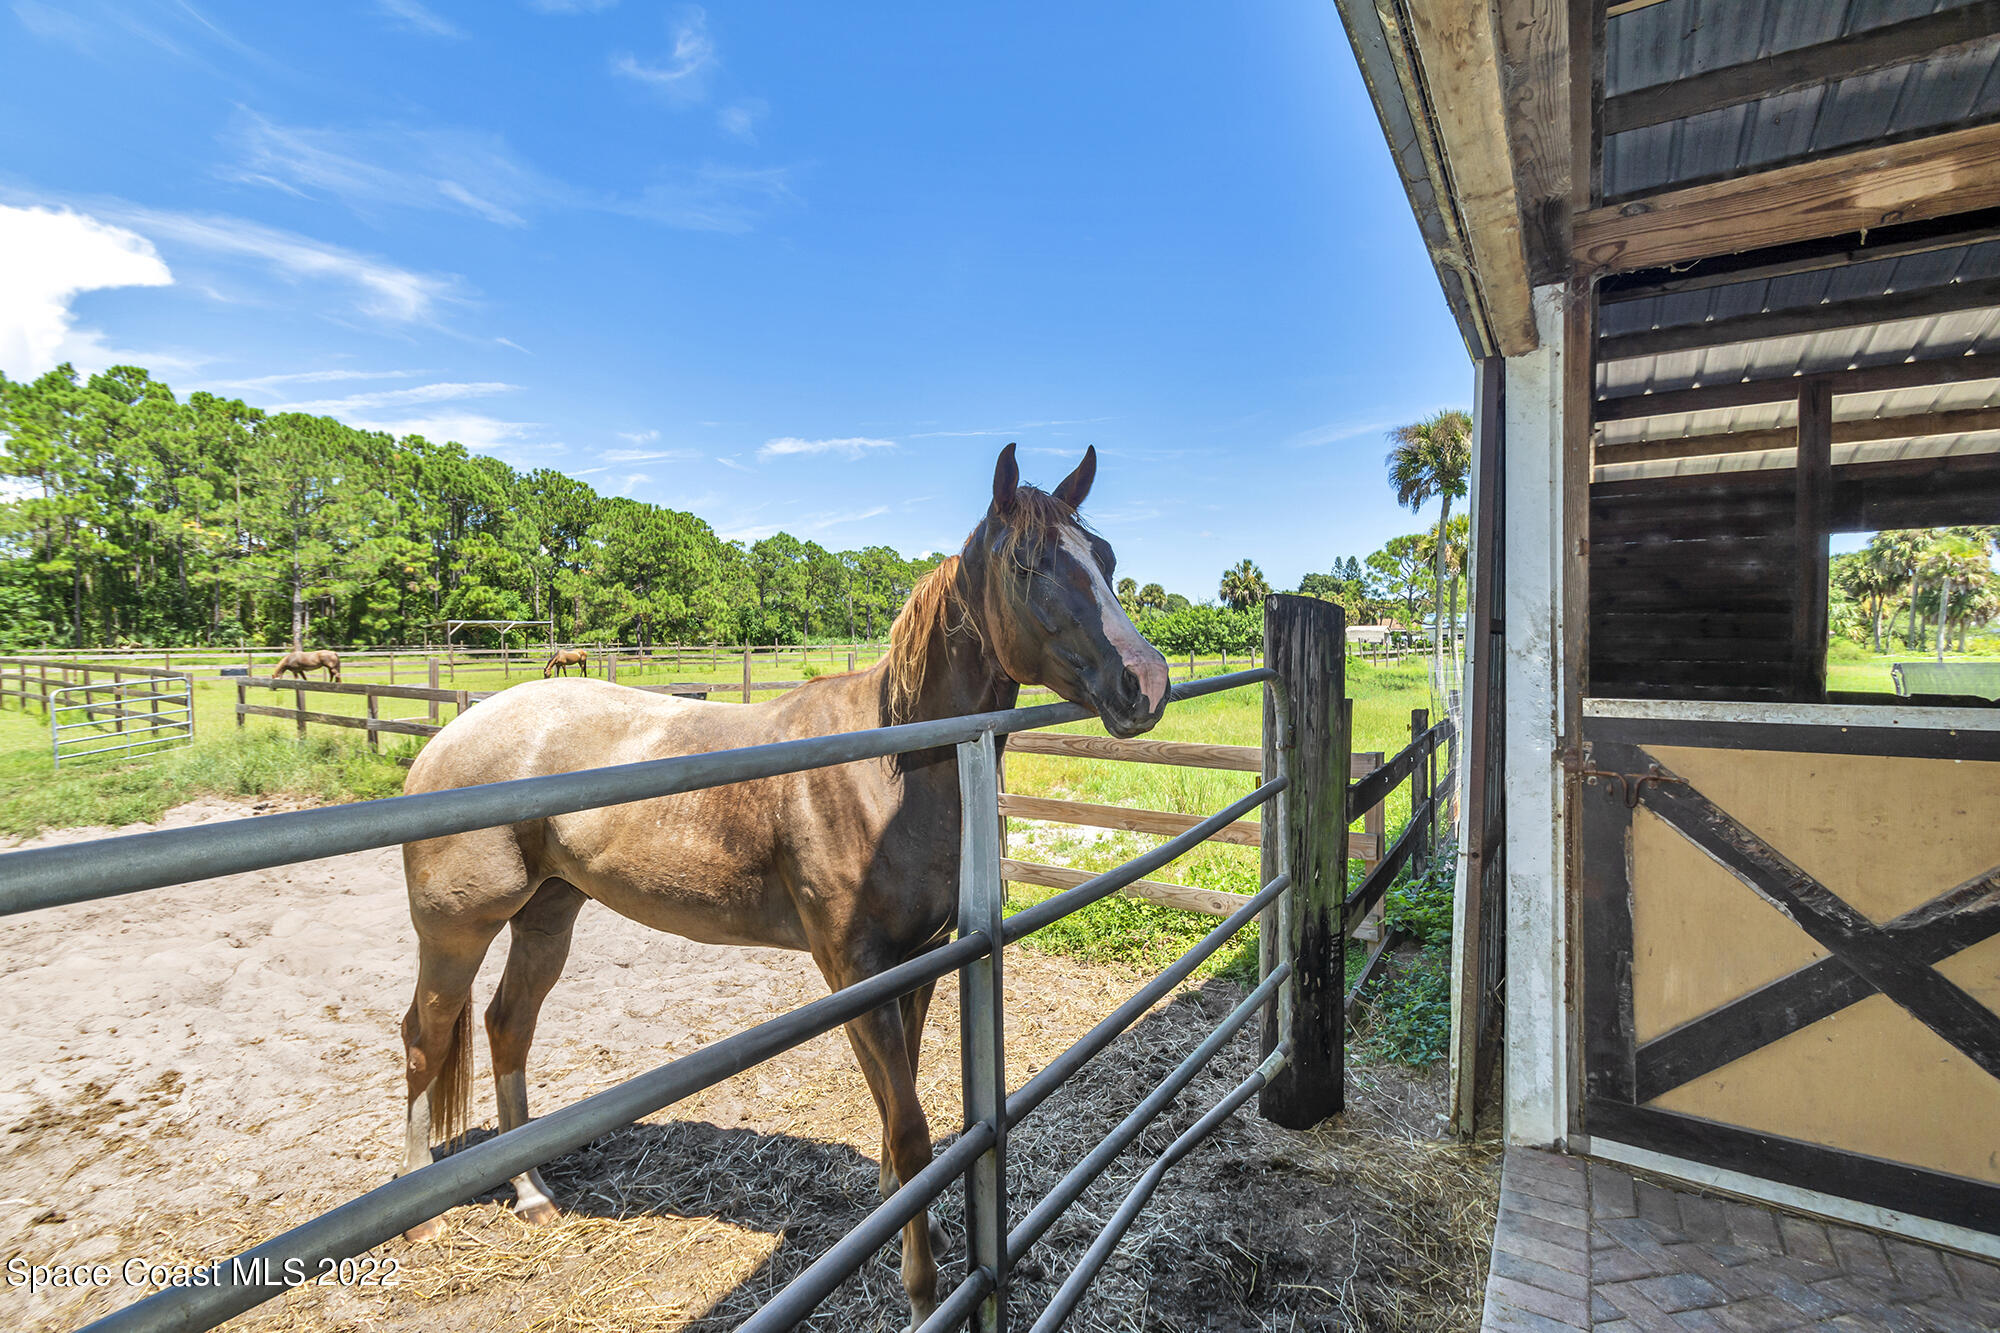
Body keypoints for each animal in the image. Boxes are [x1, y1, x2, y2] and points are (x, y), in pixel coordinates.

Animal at [392, 445, 1169, 1327]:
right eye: (1028, 562)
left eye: (1105, 559)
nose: (1146, 681)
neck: (891, 765)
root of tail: (444, 738)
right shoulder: (856, 970)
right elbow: (908, 1125)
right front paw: (919, 1286)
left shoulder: (920, 959)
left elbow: (897, 1108)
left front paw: (904, 1213)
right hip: (456, 928)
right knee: (425, 1037)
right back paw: (419, 1218)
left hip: (549, 914)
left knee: (507, 1025)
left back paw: (530, 1192)